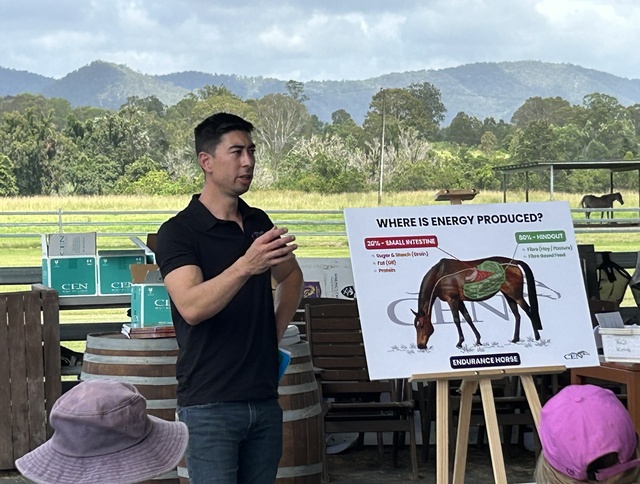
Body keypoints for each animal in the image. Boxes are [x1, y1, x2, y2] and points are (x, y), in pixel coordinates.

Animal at [412, 256, 542, 349]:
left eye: (421, 326)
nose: (420, 346)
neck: (440, 274)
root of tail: (513, 262)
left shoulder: (452, 300)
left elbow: (457, 320)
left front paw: (460, 342)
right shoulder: (459, 301)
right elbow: (468, 318)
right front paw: (478, 340)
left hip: (516, 295)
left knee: (529, 311)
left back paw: (537, 336)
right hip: (508, 295)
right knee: (517, 315)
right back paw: (515, 339)